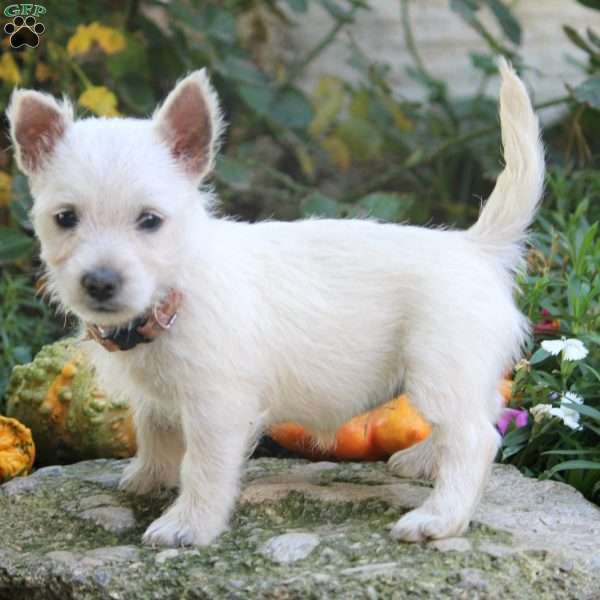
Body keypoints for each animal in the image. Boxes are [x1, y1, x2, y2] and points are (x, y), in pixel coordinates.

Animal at [7, 59, 544, 544]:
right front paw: (147, 478)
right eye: (65, 218)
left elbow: (203, 467)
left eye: (150, 221)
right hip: (457, 375)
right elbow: (154, 431)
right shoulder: (157, 399)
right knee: (478, 416)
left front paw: (188, 524)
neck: (176, 291)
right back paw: (424, 460)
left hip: (438, 370)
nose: (99, 282)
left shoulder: (217, 408)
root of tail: (476, 247)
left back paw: (439, 518)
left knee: (475, 438)